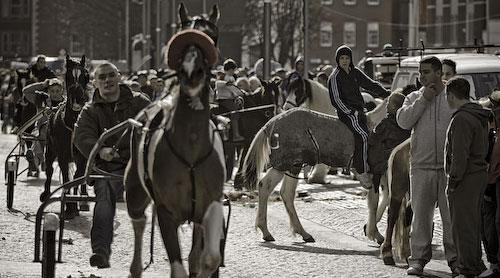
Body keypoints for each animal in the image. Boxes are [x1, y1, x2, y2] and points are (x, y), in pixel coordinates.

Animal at [40, 54, 90, 218]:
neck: (73, 124)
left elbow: (77, 177)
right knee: (49, 169)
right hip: (50, 149)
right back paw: (46, 193)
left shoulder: (82, 156)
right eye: (68, 76)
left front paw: (75, 205)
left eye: (86, 76)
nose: (78, 99)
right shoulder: (62, 154)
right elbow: (66, 178)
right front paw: (69, 207)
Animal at [124, 3, 226, 276]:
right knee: (139, 221)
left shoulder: (211, 205)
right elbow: (177, 267)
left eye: (211, 36)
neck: (191, 147)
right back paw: (136, 267)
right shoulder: (166, 212)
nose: (192, 72)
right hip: (135, 191)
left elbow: (209, 259)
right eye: (181, 36)